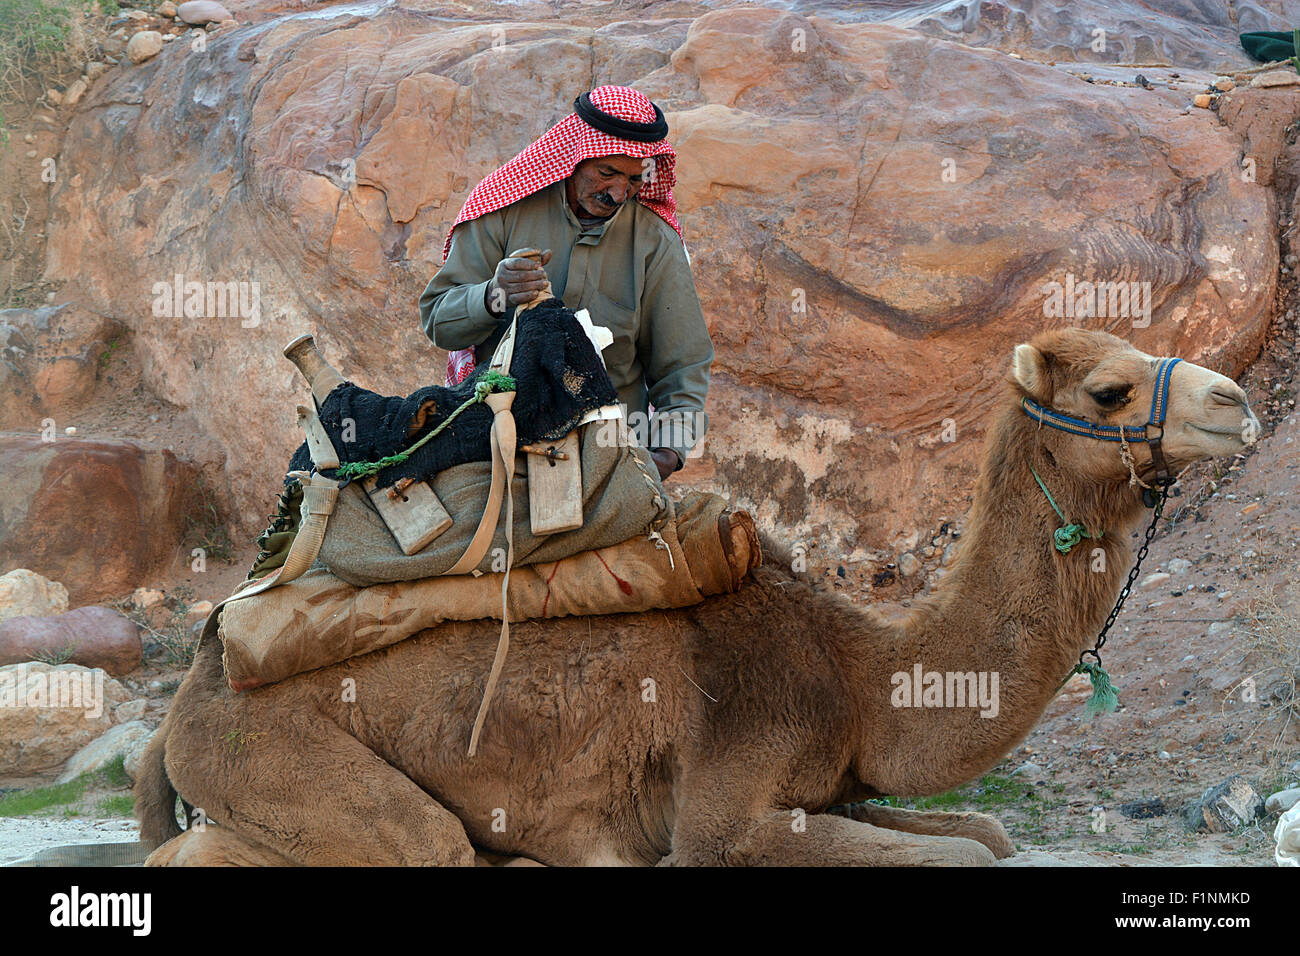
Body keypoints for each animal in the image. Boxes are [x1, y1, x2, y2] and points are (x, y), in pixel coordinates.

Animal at [135, 328, 1258, 866]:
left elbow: (990, 836)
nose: (1236, 402)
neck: (861, 672)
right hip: (284, 756)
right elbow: (964, 856)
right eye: (1108, 390)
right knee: (408, 843)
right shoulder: (726, 802)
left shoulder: (829, 784)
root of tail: (193, 687)